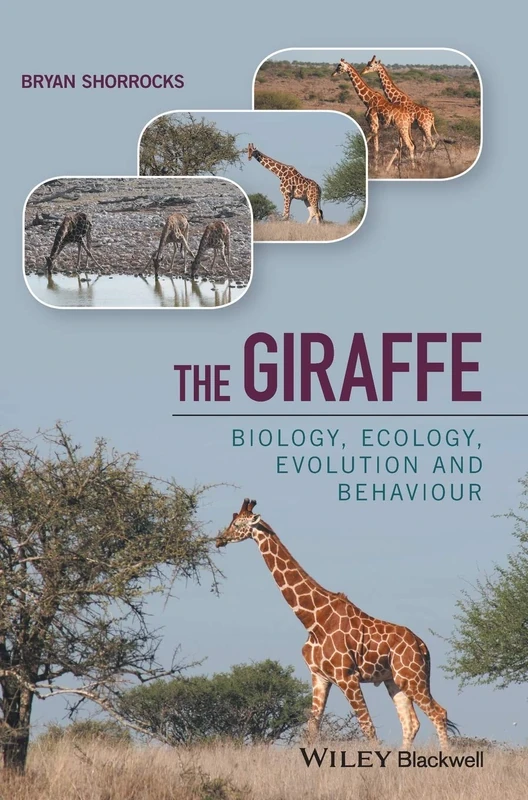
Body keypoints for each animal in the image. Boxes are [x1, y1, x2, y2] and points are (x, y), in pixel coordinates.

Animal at [216, 499, 458, 749]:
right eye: (232, 520)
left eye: (237, 524)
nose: (220, 538)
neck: (313, 619)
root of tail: (422, 646)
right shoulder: (319, 676)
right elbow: (313, 726)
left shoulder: (347, 676)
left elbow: (367, 726)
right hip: (394, 680)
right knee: (411, 723)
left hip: (411, 677)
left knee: (438, 713)